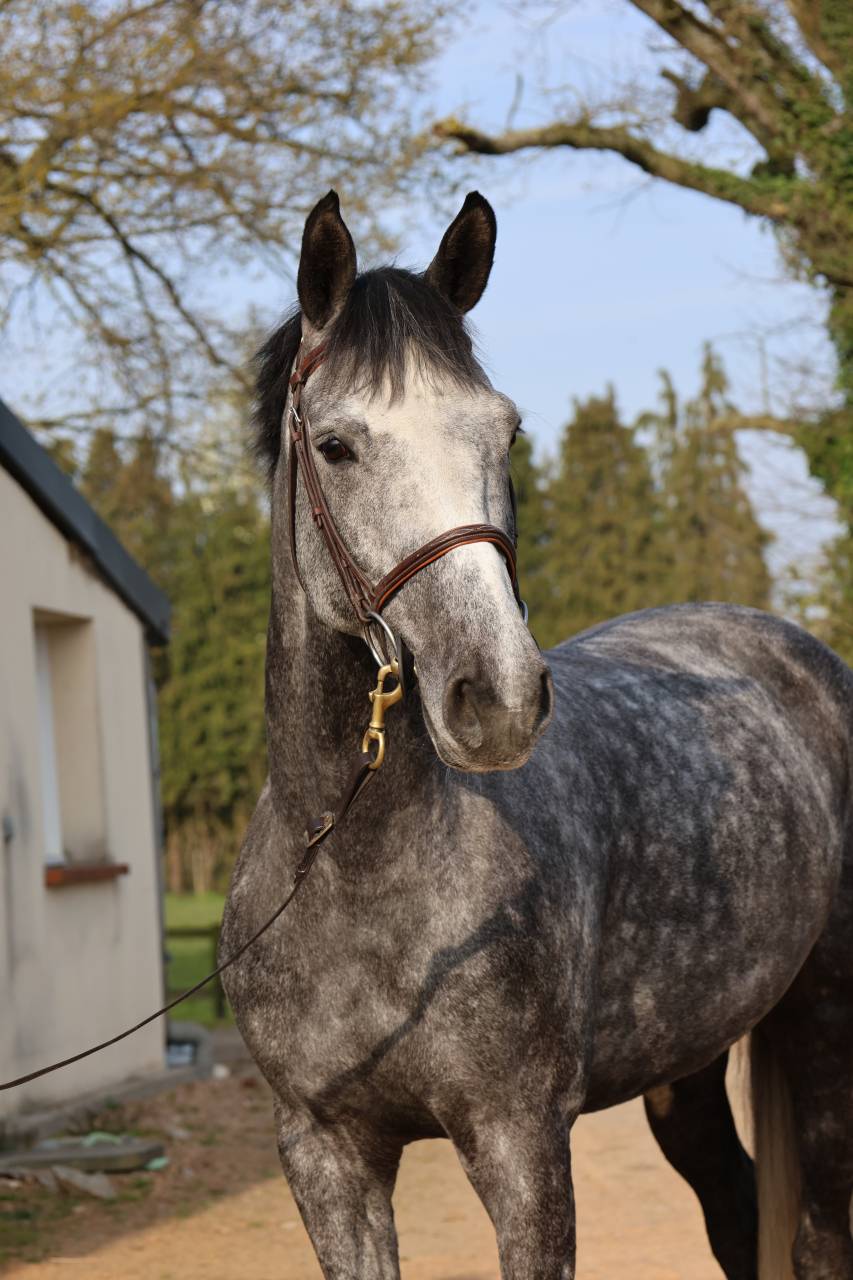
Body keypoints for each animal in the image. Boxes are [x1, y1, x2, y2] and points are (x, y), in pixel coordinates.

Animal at [220, 189, 853, 1280]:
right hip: (687, 1065)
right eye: (336, 446)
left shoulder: (520, 1143)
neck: (354, 871)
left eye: (505, 431)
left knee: (816, 1236)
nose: (499, 695)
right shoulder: (324, 1151)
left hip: (825, 1022)